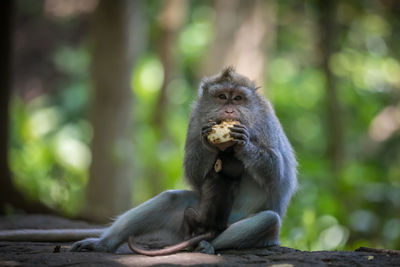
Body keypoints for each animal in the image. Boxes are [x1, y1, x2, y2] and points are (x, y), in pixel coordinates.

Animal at [0, 67, 296, 255]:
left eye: (239, 98)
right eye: (222, 96)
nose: (230, 110)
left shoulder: (266, 122)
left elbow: (277, 175)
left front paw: (244, 143)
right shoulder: (195, 118)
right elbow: (194, 174)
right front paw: (206, 141)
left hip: (254, 231)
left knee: (268, 220)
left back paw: (208, 245)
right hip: (187, 220)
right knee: (169, 200)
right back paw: (105, 244)